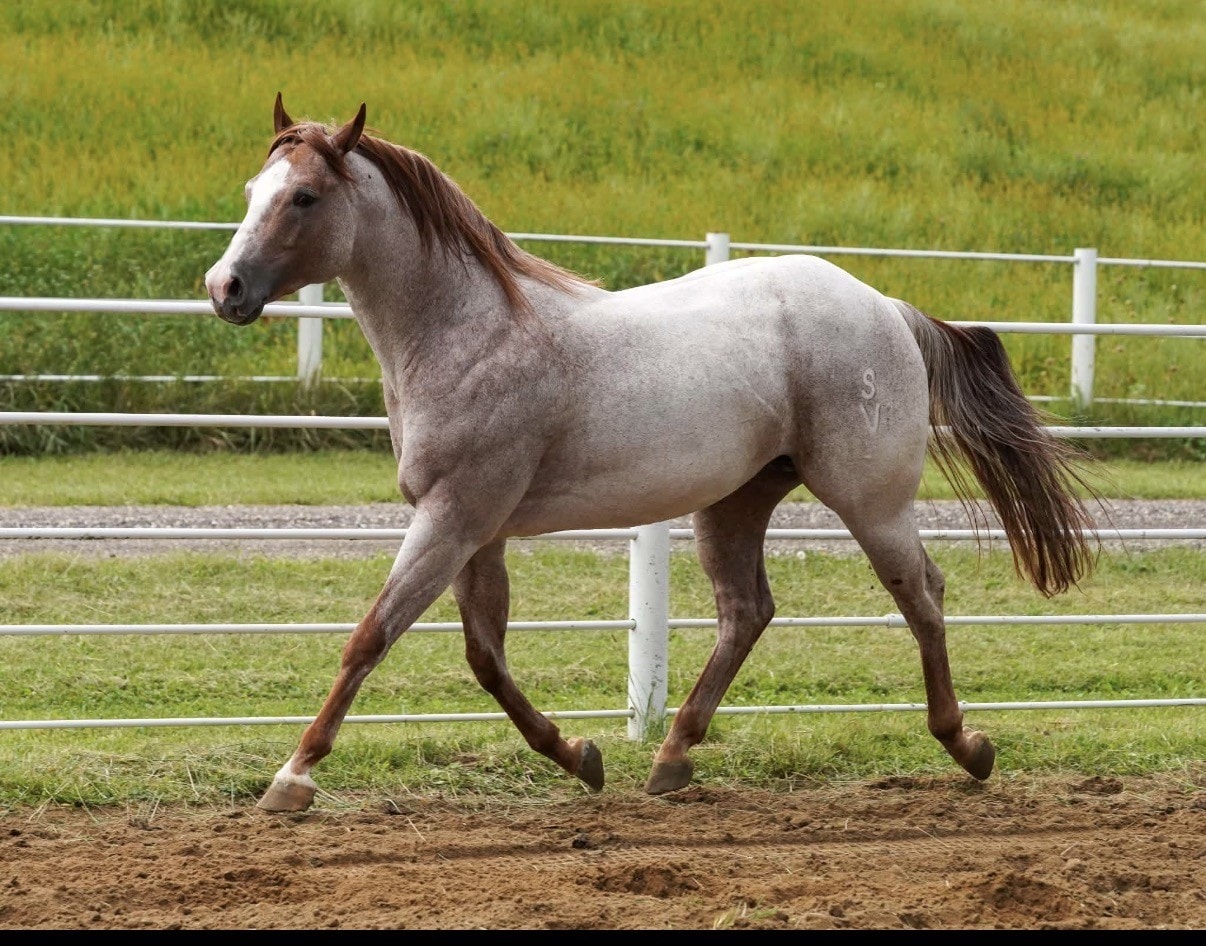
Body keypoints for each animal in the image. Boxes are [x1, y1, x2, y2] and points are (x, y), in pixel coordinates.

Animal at [205, 95, 1101, 813]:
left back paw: (968, 746)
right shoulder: (473, 530)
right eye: (252, 192)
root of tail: (887, 306)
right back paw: (671, 759)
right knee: (747, 611)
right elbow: (485, 656)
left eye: (305, 196)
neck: (472, 333)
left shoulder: (452, 519)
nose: (224, 288)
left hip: (870, 499)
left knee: (921, 593)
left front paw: (291, 779)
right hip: (735, 502)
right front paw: (580, 756)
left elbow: (372, 636)